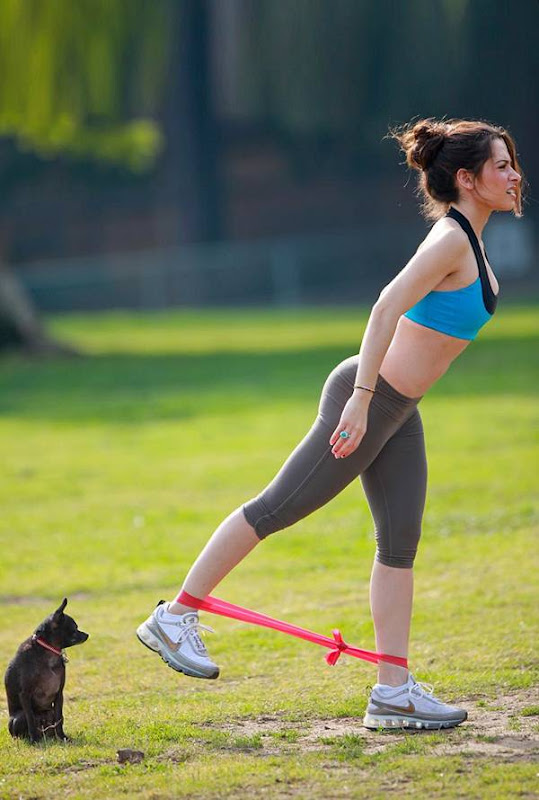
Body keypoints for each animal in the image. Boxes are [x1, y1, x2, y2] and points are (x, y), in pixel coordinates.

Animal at [4, 596, 88, 740]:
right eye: (75, 628)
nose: (87, 634)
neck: (48, 652)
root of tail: (44, 733)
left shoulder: (59, 695)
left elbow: (59, 718)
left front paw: (62, 737)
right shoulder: (25, 695)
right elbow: (30, 719)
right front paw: (34, 740)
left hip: (50, 713)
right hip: (17, 718)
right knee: (25, 725)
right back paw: (31, 738)